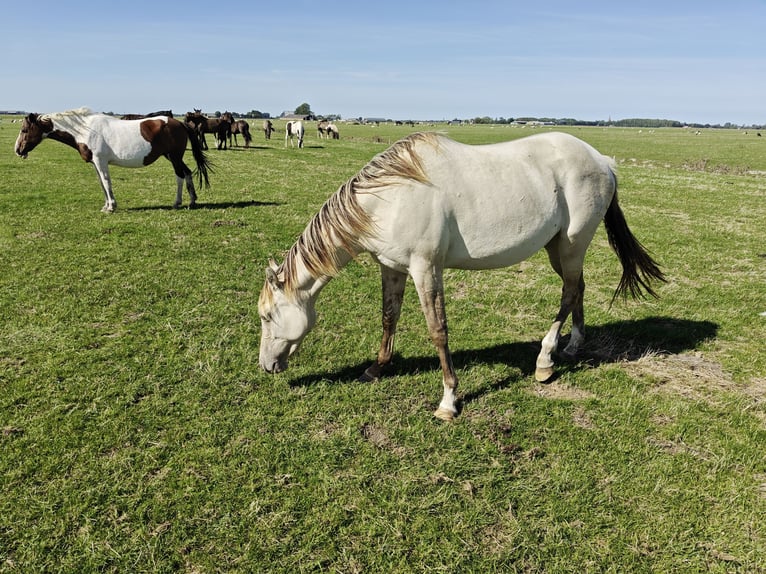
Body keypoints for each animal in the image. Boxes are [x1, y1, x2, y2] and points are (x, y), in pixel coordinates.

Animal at [14, 107, 211, 212]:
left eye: (24, 130)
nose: (17, 150)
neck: (85, 129)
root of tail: (180, 123)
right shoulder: (96, 164)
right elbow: (102, 184)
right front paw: (106, 205)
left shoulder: (101, 162)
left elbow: (107, 182)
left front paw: (111, 207)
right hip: (172, 156)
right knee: (187, 173)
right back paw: (192, 201)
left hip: (174, 156)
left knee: (180, 175)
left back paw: (177, 202)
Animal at [258, 132, 666, 421]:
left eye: (266, 316)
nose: (266, 366)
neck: (391, 198)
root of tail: (602, 160)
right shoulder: (391, 267)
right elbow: (389, 318)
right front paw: (375, 369)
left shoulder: (426, 268)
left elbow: (438, 330)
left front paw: (449, 401)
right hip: (558, 249)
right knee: (577, 288)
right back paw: (573, 345)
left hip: (572, 244)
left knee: (567, 293)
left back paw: (545, 361)